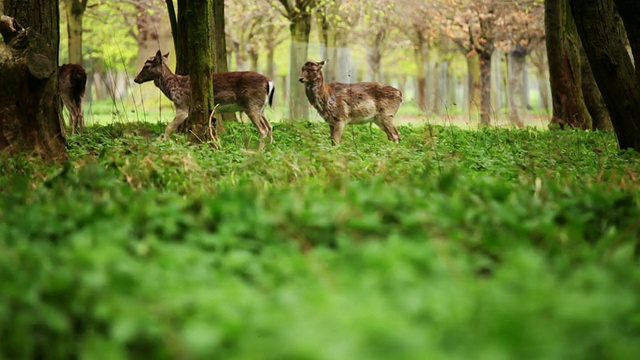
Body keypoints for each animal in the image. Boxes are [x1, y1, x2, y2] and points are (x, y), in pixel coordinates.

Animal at [134, 50, 274, 147]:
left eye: (146, 66)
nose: (136, 79)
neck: (172, 87)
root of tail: (269, 81)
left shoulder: (182, 106)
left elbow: (168, 127)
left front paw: (165, 143)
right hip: (261, 107)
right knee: (269, 126)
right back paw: (269, 149)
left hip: (252, 104)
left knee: (263, 129)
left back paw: (258, 152)